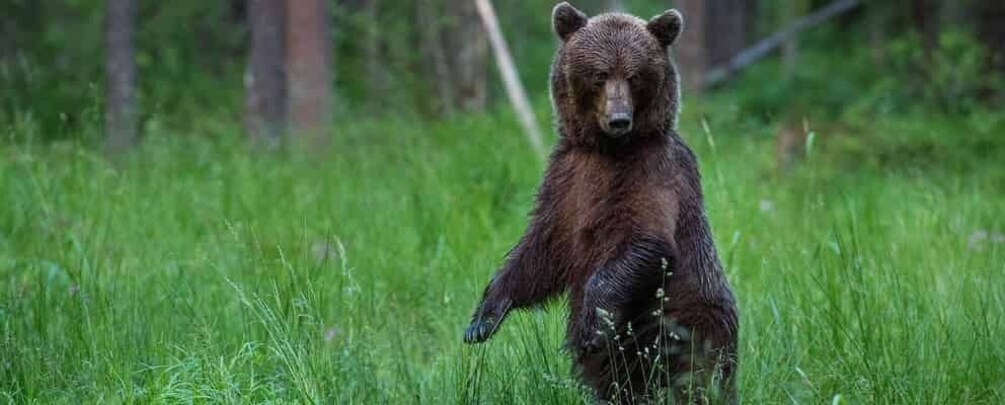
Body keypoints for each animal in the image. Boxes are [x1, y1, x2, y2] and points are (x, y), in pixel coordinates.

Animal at [463, 3, 738, 403]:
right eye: (599, 74)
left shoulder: (653, 173)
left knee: (695, 372)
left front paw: (591, 325)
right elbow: (539, 252)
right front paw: (483, 318)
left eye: (635, 75)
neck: (607, 149)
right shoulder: (566, 180)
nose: (619, 119)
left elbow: (646, 240)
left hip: (685, 321)